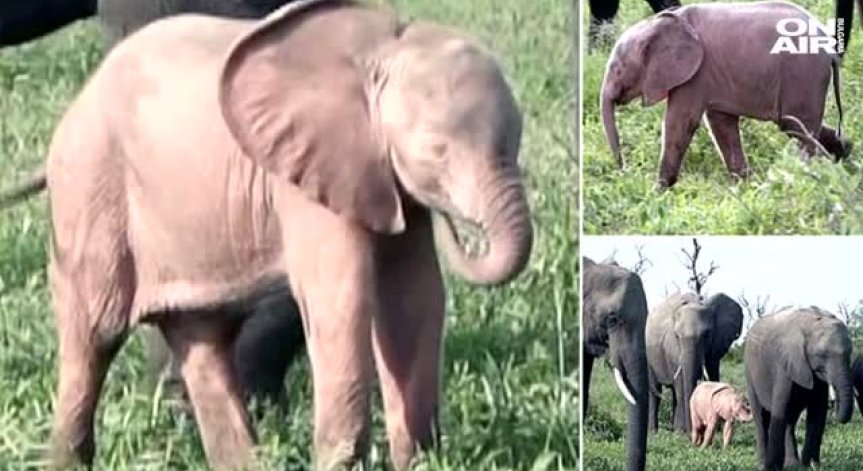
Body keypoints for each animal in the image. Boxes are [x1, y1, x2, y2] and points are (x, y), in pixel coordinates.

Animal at [6, 0, 534, 469]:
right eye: (437, 150)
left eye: (517, 139)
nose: (460, 227)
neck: (382, 46)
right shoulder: (305, 181)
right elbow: (340, 296)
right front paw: (341, 463)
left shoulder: (378, 178)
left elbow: (414, 297)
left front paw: (424, 461)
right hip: (90, 190)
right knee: (95, 332)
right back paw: (66, 463)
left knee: (202, 339)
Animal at [600, 1, 850, 188]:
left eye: (617, 69)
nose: (623, 171)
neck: (657, 23)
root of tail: (830, 49)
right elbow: (720, 123)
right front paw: (744, 186)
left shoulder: (696, 74)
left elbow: (679, 123)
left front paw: (659, 192)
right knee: (804, 127)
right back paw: (844, 156)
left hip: (802, 74)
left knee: (796, 126)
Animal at [646, 292, 743, 434]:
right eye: (676, 336)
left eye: (707, 335)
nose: (693, 429)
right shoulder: (672, 349)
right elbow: (681, 383)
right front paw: (683, 432)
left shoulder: (715, 344)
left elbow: (713, 374)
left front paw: (716, 429)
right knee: (656, 392)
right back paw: (654, 432)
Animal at [744, 307, 853, 470]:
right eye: (820, 355)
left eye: (850, 352)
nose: (834, 403)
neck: (812, 322)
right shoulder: (785, 363)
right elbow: (779, 408)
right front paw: (772, 468)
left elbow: (818, 411)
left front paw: (811, 464)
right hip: (750, 373)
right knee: (761, 417)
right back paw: (763, 464)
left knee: (790, 420)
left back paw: (793, 464)